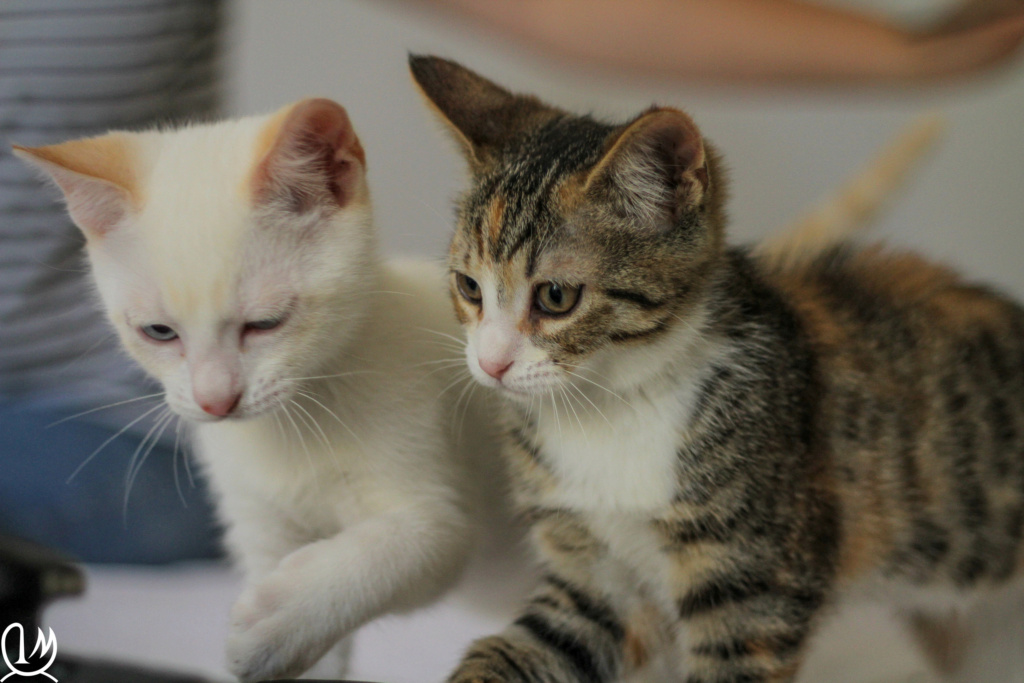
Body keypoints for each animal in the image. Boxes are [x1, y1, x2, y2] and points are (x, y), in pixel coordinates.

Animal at [14, 98, 489, 679]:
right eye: (159, 332)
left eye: (265, 323)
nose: (216, 400)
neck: (293, 428)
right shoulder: (263, 529)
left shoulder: (442, 518)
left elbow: (398, 548)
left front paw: (282, 622)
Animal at [409, 57, 1024, 683]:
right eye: (469, 287)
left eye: (556, 296)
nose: (491, 363)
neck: (612, 408)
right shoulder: (591, 579)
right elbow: (530, 644)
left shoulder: (754, 589)